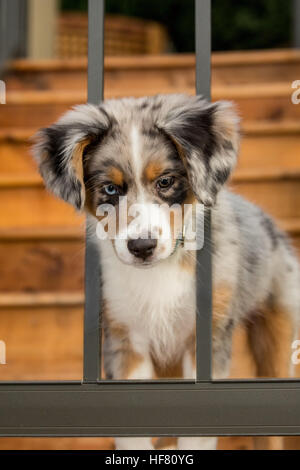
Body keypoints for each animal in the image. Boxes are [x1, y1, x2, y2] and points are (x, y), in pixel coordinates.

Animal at [33, 93, 300, 450]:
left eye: (165, 182)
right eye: (110, 189)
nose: (142, 246)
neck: (159, 272)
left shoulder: (206, 342)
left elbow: (196, 434)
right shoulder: (125, 339)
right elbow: (135, 434)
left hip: (276, 331)